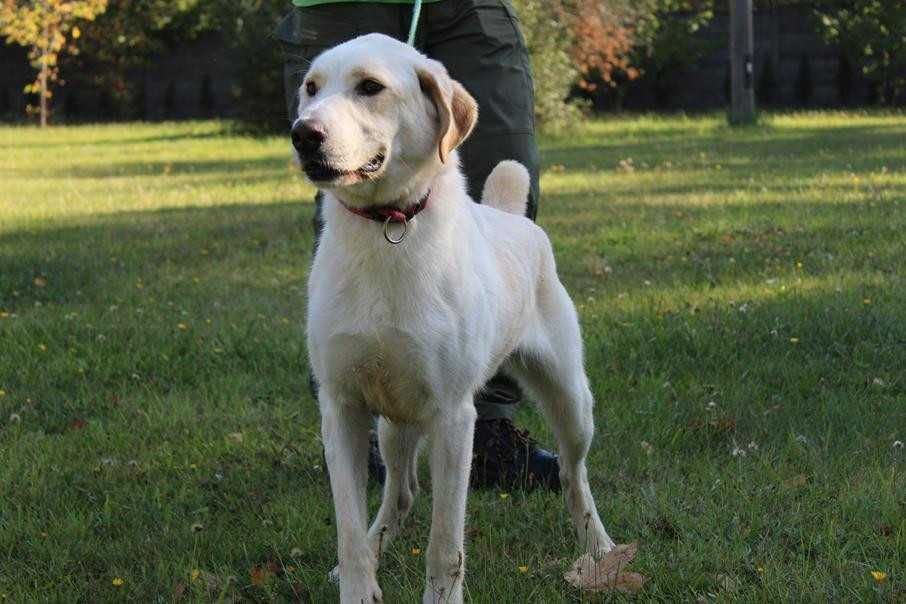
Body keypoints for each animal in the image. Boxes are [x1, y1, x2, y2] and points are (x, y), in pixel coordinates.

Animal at [296, 34, 616, 604]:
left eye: (370, 87)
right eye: (311, 88)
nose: (302, 134)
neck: (385, 230)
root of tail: (511, 218)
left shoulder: (453, 418)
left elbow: (445, 544)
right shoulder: (341, 408)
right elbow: (349, 531)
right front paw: (359, 581)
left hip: (571, 400)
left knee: (573, 475)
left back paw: (598, 547)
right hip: (392, 424)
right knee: (401, 492)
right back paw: (379, 543)